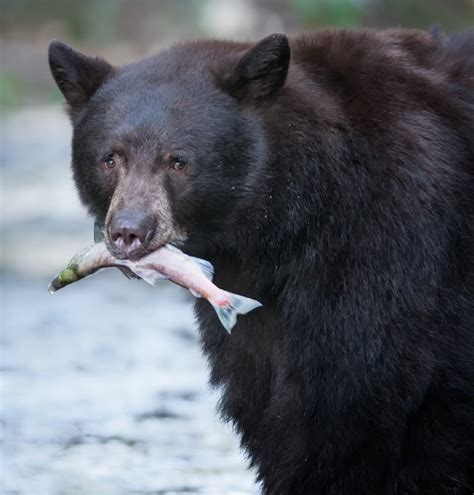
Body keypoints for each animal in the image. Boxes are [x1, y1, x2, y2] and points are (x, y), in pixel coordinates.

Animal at [49, 29, 474, 494]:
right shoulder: (256, 317)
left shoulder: (393, 256)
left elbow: (358, 400)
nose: (128, 231)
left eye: (178, 161)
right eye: (110, 158)